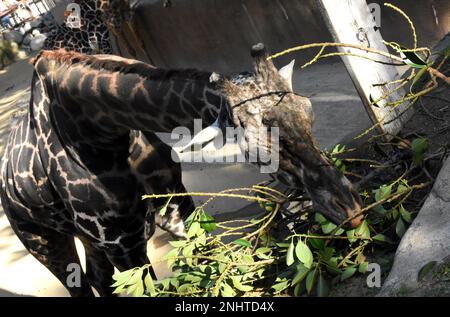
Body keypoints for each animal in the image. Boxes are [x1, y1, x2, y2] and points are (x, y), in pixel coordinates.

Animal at [0, 45, 364, 296]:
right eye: (259, 149)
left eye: (309, 112)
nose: (351, 210)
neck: (99, 131)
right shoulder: (121, 242)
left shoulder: (176, 207)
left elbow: (207, 262)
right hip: (45, 242)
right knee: (77, 283)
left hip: (89, 241)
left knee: (97, 279)